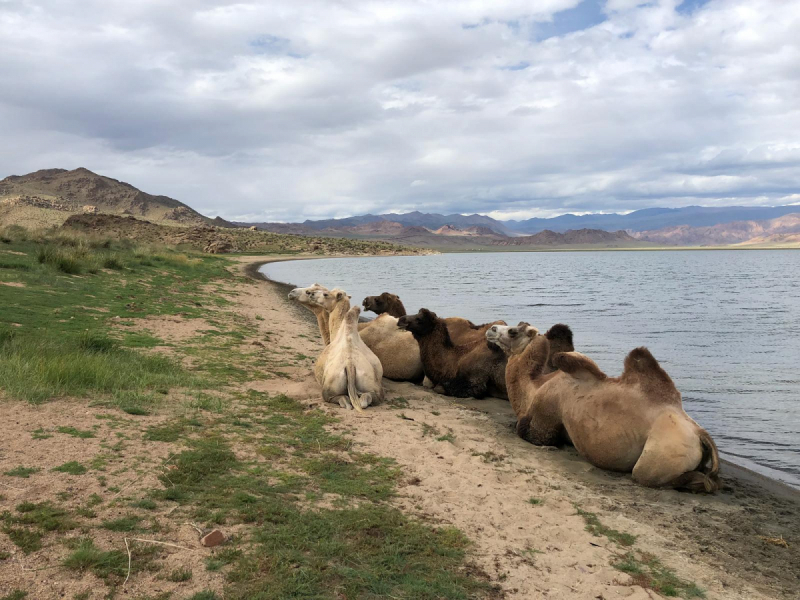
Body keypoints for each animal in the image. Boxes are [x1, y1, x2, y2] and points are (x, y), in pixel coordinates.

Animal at [490, 328, 720, 492]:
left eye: (513, 331)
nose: (491, 329)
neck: (533, 389)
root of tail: (700, 433)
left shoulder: (543, 420)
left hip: (663, 452)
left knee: (650, 476)